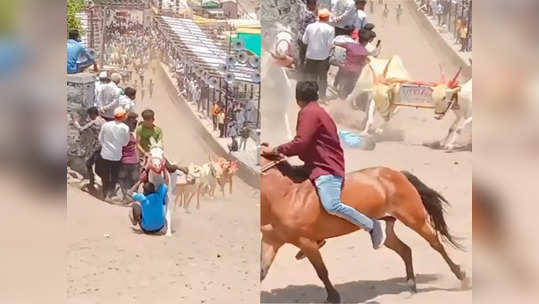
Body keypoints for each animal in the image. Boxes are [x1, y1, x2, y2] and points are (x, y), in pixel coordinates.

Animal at [262, 151, 468, 302]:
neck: (285, 196)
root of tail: (398, 174)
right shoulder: (271, 242)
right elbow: (262, 271)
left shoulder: (307, 243)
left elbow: (322, 272)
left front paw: (333, 297)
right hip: (388, 231)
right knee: (405, 250)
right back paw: (411, 285)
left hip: (414, 219)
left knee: (436, 244)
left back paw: (461, 277)